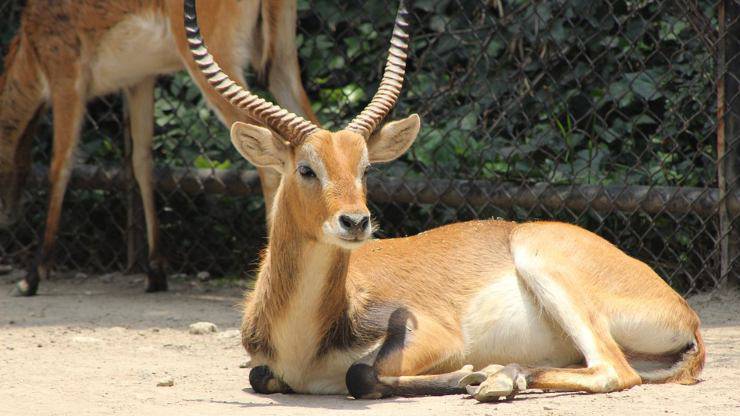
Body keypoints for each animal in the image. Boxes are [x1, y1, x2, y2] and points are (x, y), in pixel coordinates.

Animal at [0, 0, 316, 296]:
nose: (9, 216)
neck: (29, 44)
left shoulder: (66, 79)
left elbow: (60, 165)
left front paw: (32, 277)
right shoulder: (140, 81)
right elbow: (141, 163)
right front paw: (155, 272)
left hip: (218, 61)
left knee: (268, 163)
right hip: (281, 62)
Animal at [185, 0, 704, 404]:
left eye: (365, 168)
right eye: (306, 168)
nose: (355, 222)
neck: (305, 344)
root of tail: (688, 314)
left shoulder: (436, 337)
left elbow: (361, 374)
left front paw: (471, 375)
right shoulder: (266, 368)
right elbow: (261, 375)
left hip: (544, 264)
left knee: (614, 370)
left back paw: (496, 379)